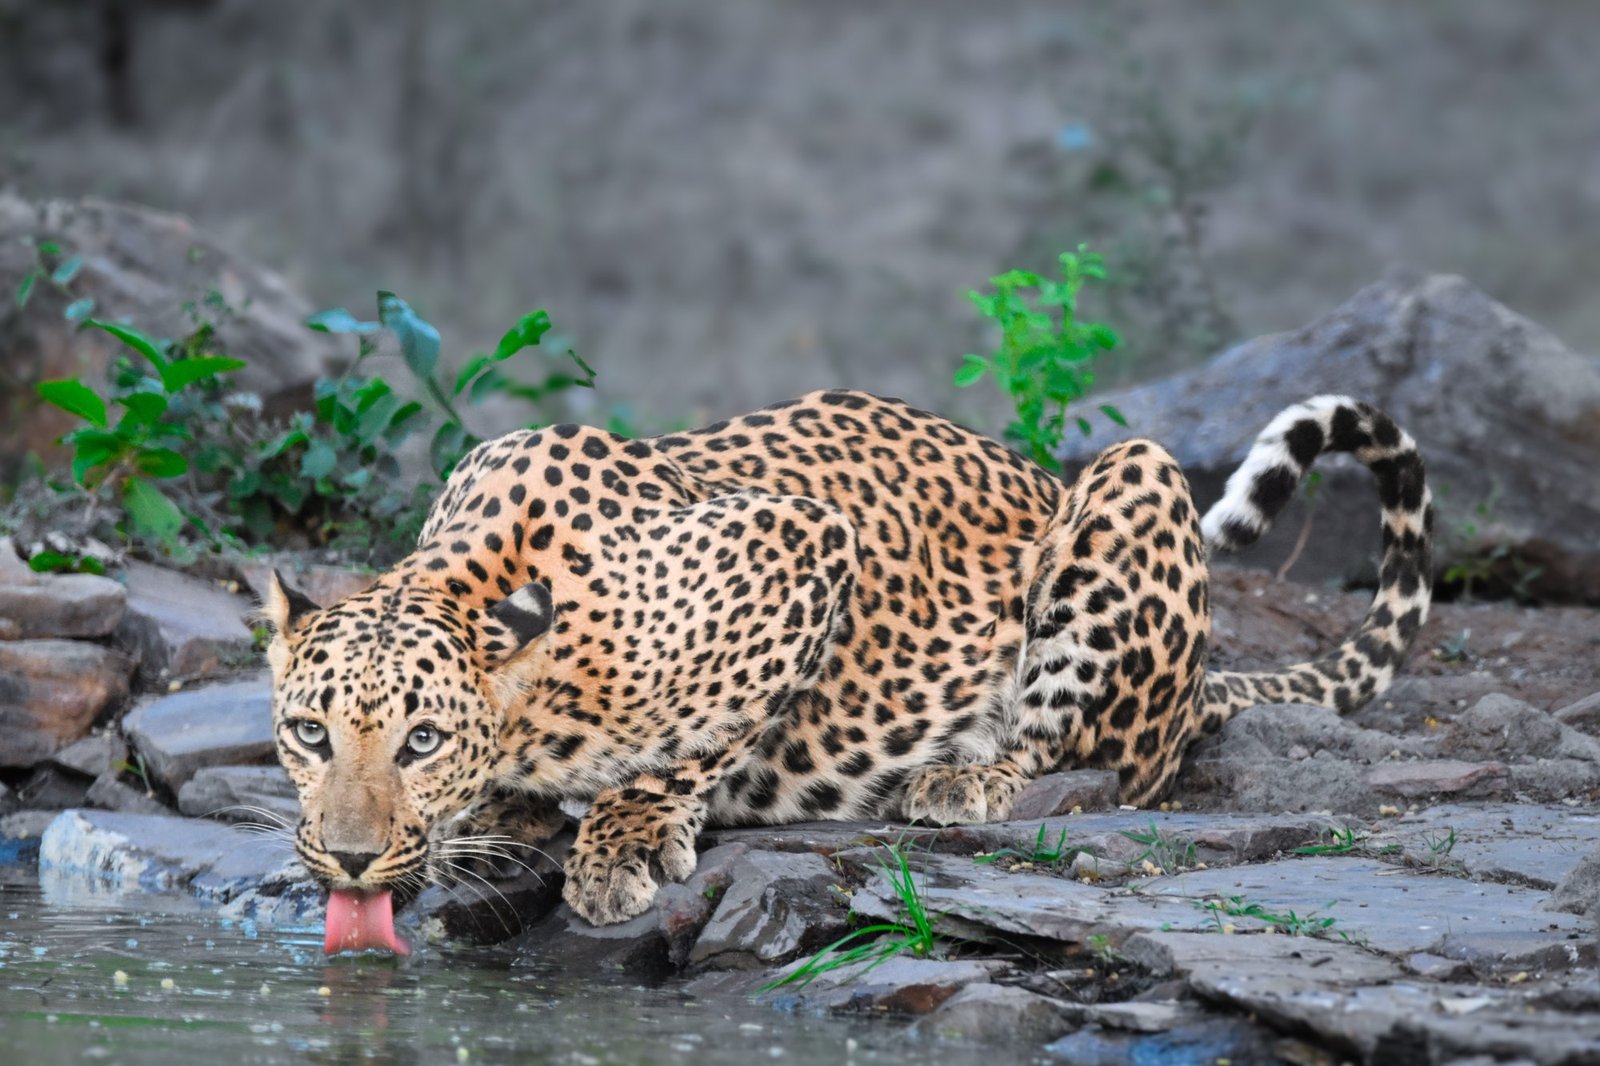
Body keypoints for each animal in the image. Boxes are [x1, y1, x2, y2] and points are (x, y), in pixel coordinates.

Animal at [264, 389, 1432, 931]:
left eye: (421, 740)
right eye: (308, 733)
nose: (350, 861)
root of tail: (1196, 689)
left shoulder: (803, 541)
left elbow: (698, 738)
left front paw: (623, 842)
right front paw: (502, 820)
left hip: (1130, 483)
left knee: (1086, 755)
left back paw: (964, 776)